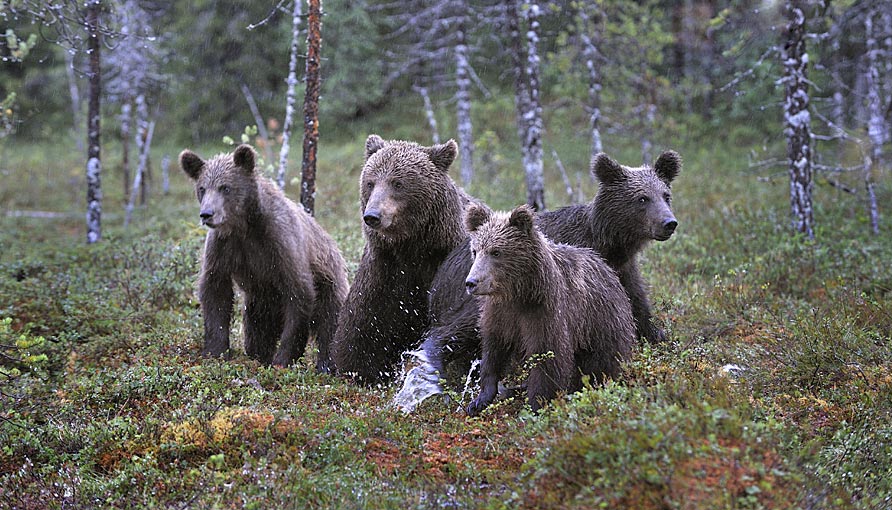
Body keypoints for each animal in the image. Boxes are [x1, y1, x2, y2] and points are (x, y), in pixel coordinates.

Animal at [179, 143, 346, 370]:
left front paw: (283, 359)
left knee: (329, 324)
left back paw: (326, 363)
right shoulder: (223, 247)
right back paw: (259, 355)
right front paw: (215, 351)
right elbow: (215, 291)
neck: (243, 226)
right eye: (202, 188)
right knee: (256, 333)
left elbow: (298, 292)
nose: (207, 214)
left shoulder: (280, 241)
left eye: (225, 187)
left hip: (329, 283)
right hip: (259, 304)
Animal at [328, 133, 466, 384]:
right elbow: (361, 330)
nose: (372, 216)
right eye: (370, 182)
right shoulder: (385, 272)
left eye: (398, 183)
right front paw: (358, 371)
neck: (411, 248)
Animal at [422, 149, 680, 388]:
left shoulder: (622, 273)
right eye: (642, 198)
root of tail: (441, 273)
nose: (669, 223)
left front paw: (659, 336)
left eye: (665, 195)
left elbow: (637, 309)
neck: (610, 244)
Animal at [464, 203, 636, 414]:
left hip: (602, 322)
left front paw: (537, 405)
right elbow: (493, 349)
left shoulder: (546, 312)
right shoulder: (499, 313)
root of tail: (608, 269)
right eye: (475, 250)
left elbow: (548, 358)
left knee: (604, 360)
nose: (471, 282)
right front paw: (479, 400)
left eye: (496, 252)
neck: (519, 293)